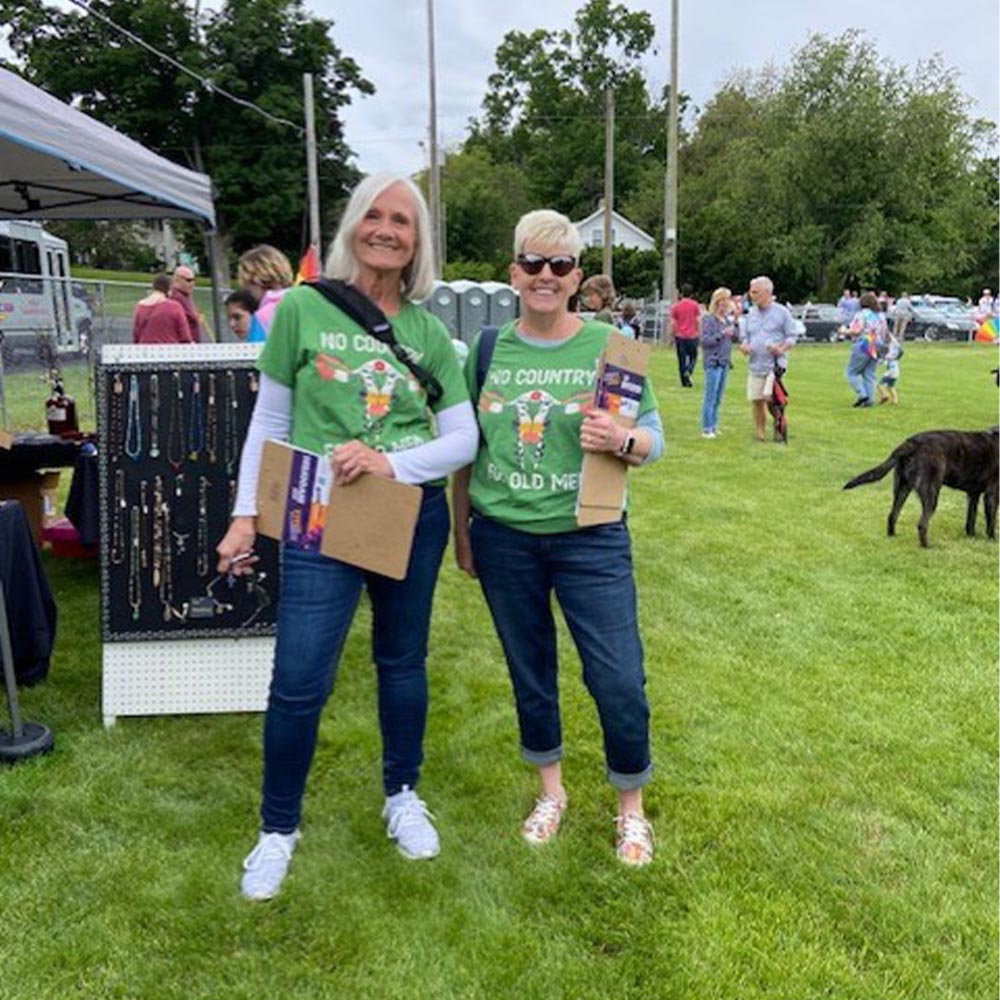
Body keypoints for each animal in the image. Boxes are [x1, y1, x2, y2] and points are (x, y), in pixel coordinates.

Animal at [844, 424, 1000, 548]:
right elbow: (991, 522)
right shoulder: (991, 494)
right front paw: (992, 540)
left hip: (902, 490)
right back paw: (927, 546)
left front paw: (971, 536)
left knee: (892, 515)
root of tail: (911, 443)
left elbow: (971, 519)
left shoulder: (973, 494)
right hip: (931, 493)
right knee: (922, 524)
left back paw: (892, 537)